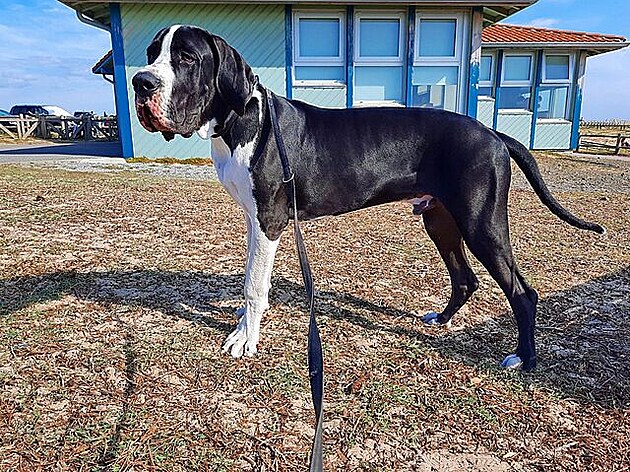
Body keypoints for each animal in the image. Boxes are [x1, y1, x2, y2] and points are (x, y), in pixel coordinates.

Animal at [130, 26, 608, 372]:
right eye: (152, 52)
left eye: (186, 58)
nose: (140, 81)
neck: (242, 118)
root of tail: (493, 133)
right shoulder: (254, 220)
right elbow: (252, 279)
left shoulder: (269, 220)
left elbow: (254, 285)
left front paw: (244, 338)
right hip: (441, 220)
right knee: (465, 278)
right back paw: (442, 320)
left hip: (482, 223)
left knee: (523, 293)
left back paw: (523, 359)